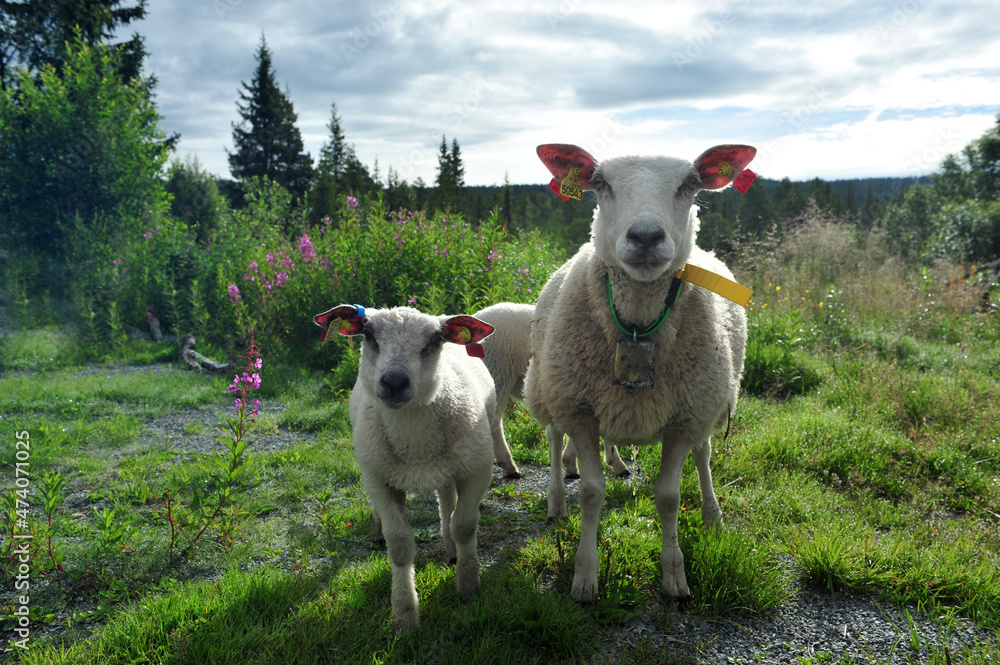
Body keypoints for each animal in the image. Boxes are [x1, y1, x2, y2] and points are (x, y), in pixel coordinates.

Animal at [313, 304, 497, 632]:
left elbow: (463, 526)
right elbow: (398, 545)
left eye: (436, 339)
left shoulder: (477, 470)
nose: (394, 382)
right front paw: (404, 615)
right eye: (368, 333)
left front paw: (468, 587)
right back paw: (377, 533)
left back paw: (451, 550)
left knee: (446, 500)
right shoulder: (379, 480)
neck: (416, 445)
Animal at [524, 142, 755, 602]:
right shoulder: (580, 410)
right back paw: (557, 501)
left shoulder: (687, 416)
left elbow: (668, 497)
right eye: (601, 184)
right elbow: (591, 492)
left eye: (689, 185)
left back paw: (710, 512)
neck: (636, 325)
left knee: (703, 454)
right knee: (553, 438)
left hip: (709, 399)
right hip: (549, 384)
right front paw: (585, 577)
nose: (645, 237)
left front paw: (674, 575)